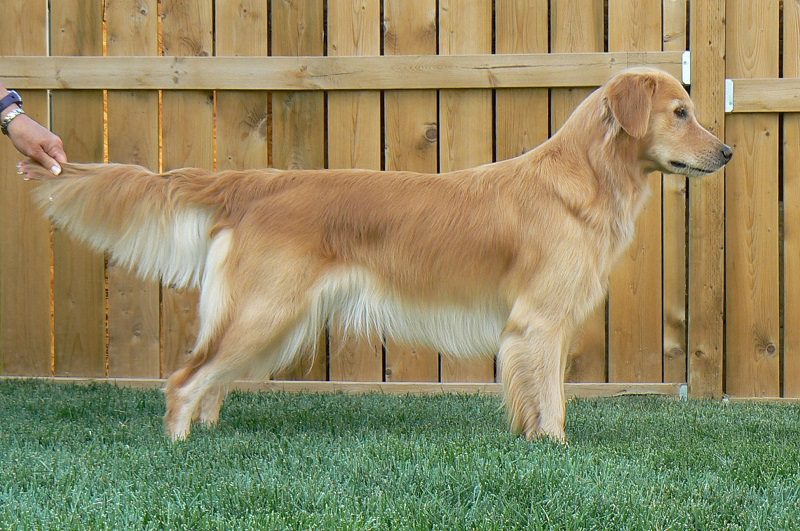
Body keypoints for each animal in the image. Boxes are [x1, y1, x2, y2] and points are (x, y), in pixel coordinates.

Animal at [18, 68, 732, 440]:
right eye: (680, 112)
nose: (726, 151)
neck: (585, 177)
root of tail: (253, 183)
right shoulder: (540, 321)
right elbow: (552, 399)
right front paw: (554, 450)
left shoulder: (540, 327)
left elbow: (539, 395)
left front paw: (533, 441)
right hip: (265, 312)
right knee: (183, 380)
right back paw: (179, 450)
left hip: (271, 323)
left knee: (209, 380)